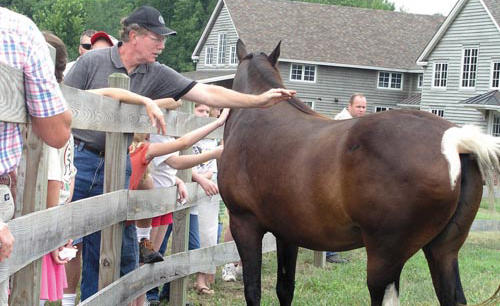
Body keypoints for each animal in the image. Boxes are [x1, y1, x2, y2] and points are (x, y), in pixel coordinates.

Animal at [219, 39, 500, 304]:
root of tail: (454, 139)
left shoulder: (244, 223)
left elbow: (253, 290)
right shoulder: (287, 233)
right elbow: (285, 289)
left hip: (384, 259)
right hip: (443, 251)